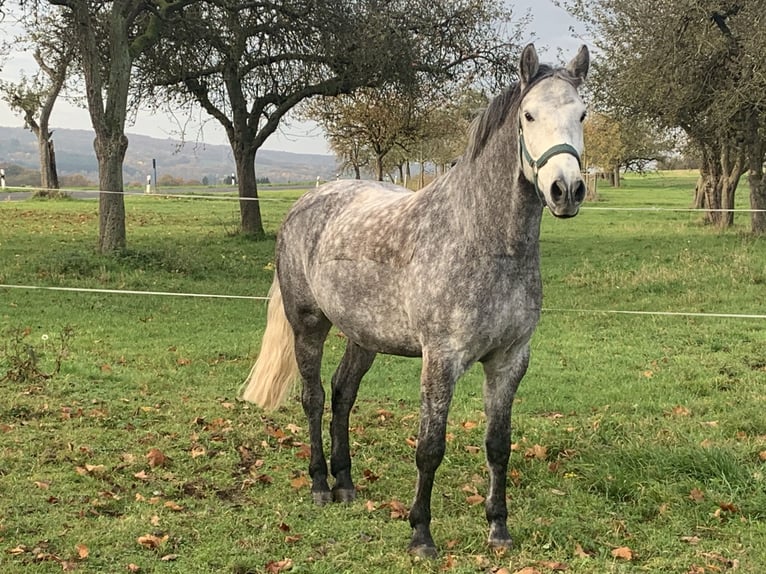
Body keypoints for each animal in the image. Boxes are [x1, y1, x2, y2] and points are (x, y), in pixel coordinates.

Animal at [241, 43, 589, 557]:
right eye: (528, 115)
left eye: (582, 114)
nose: (566, 190)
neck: (483, 239)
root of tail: (305, 203)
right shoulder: (441, 359)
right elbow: (430, 448)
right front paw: (421, 533)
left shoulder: (509, 360)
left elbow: (498, 445)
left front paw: (498, 528)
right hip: (309, 325)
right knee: (314, 397)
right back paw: (321, 485)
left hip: (363, 336)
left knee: (343, 395)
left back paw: (347, 484)